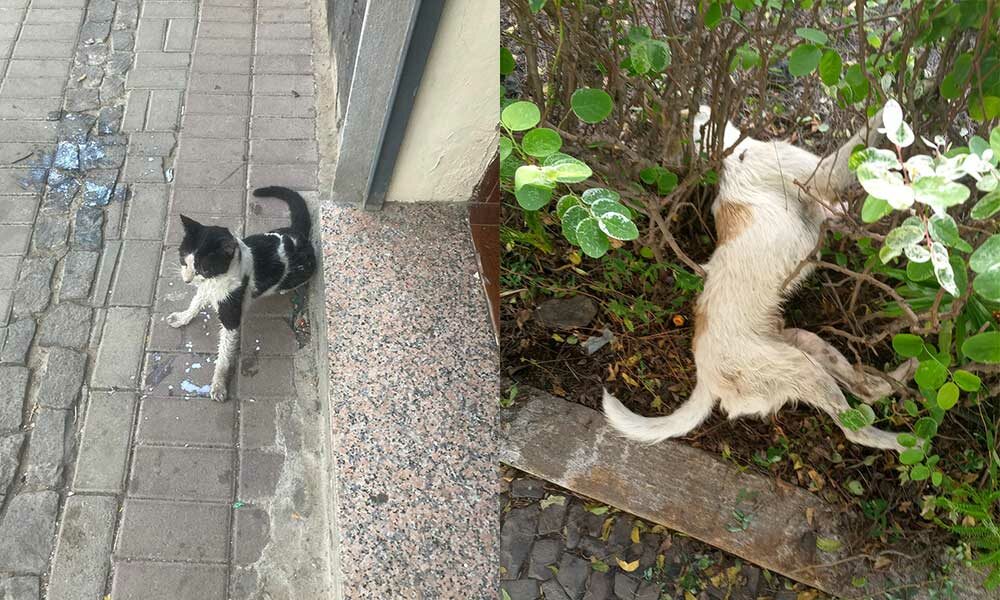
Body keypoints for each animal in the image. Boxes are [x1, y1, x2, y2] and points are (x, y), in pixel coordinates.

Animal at [168, 185, 316, 400]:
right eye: (183, 260)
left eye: (203, 268)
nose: (187, 280)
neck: (218, 279)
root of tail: (299, 236)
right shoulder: (205, 288)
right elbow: (195, 303)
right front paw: (182, 317)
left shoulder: (231, 316)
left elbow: (224, 354)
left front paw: (219, 385)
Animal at [600, 106, 916, 450]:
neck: (730, 153)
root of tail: (705, 381)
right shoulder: (821, 174)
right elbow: (863, 134)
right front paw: (893, 109)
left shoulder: (820, 207)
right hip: (799, 367)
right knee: (854, 428)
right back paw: (909, 443)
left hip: (802, 342)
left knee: (864, 390)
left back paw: (903, 374)